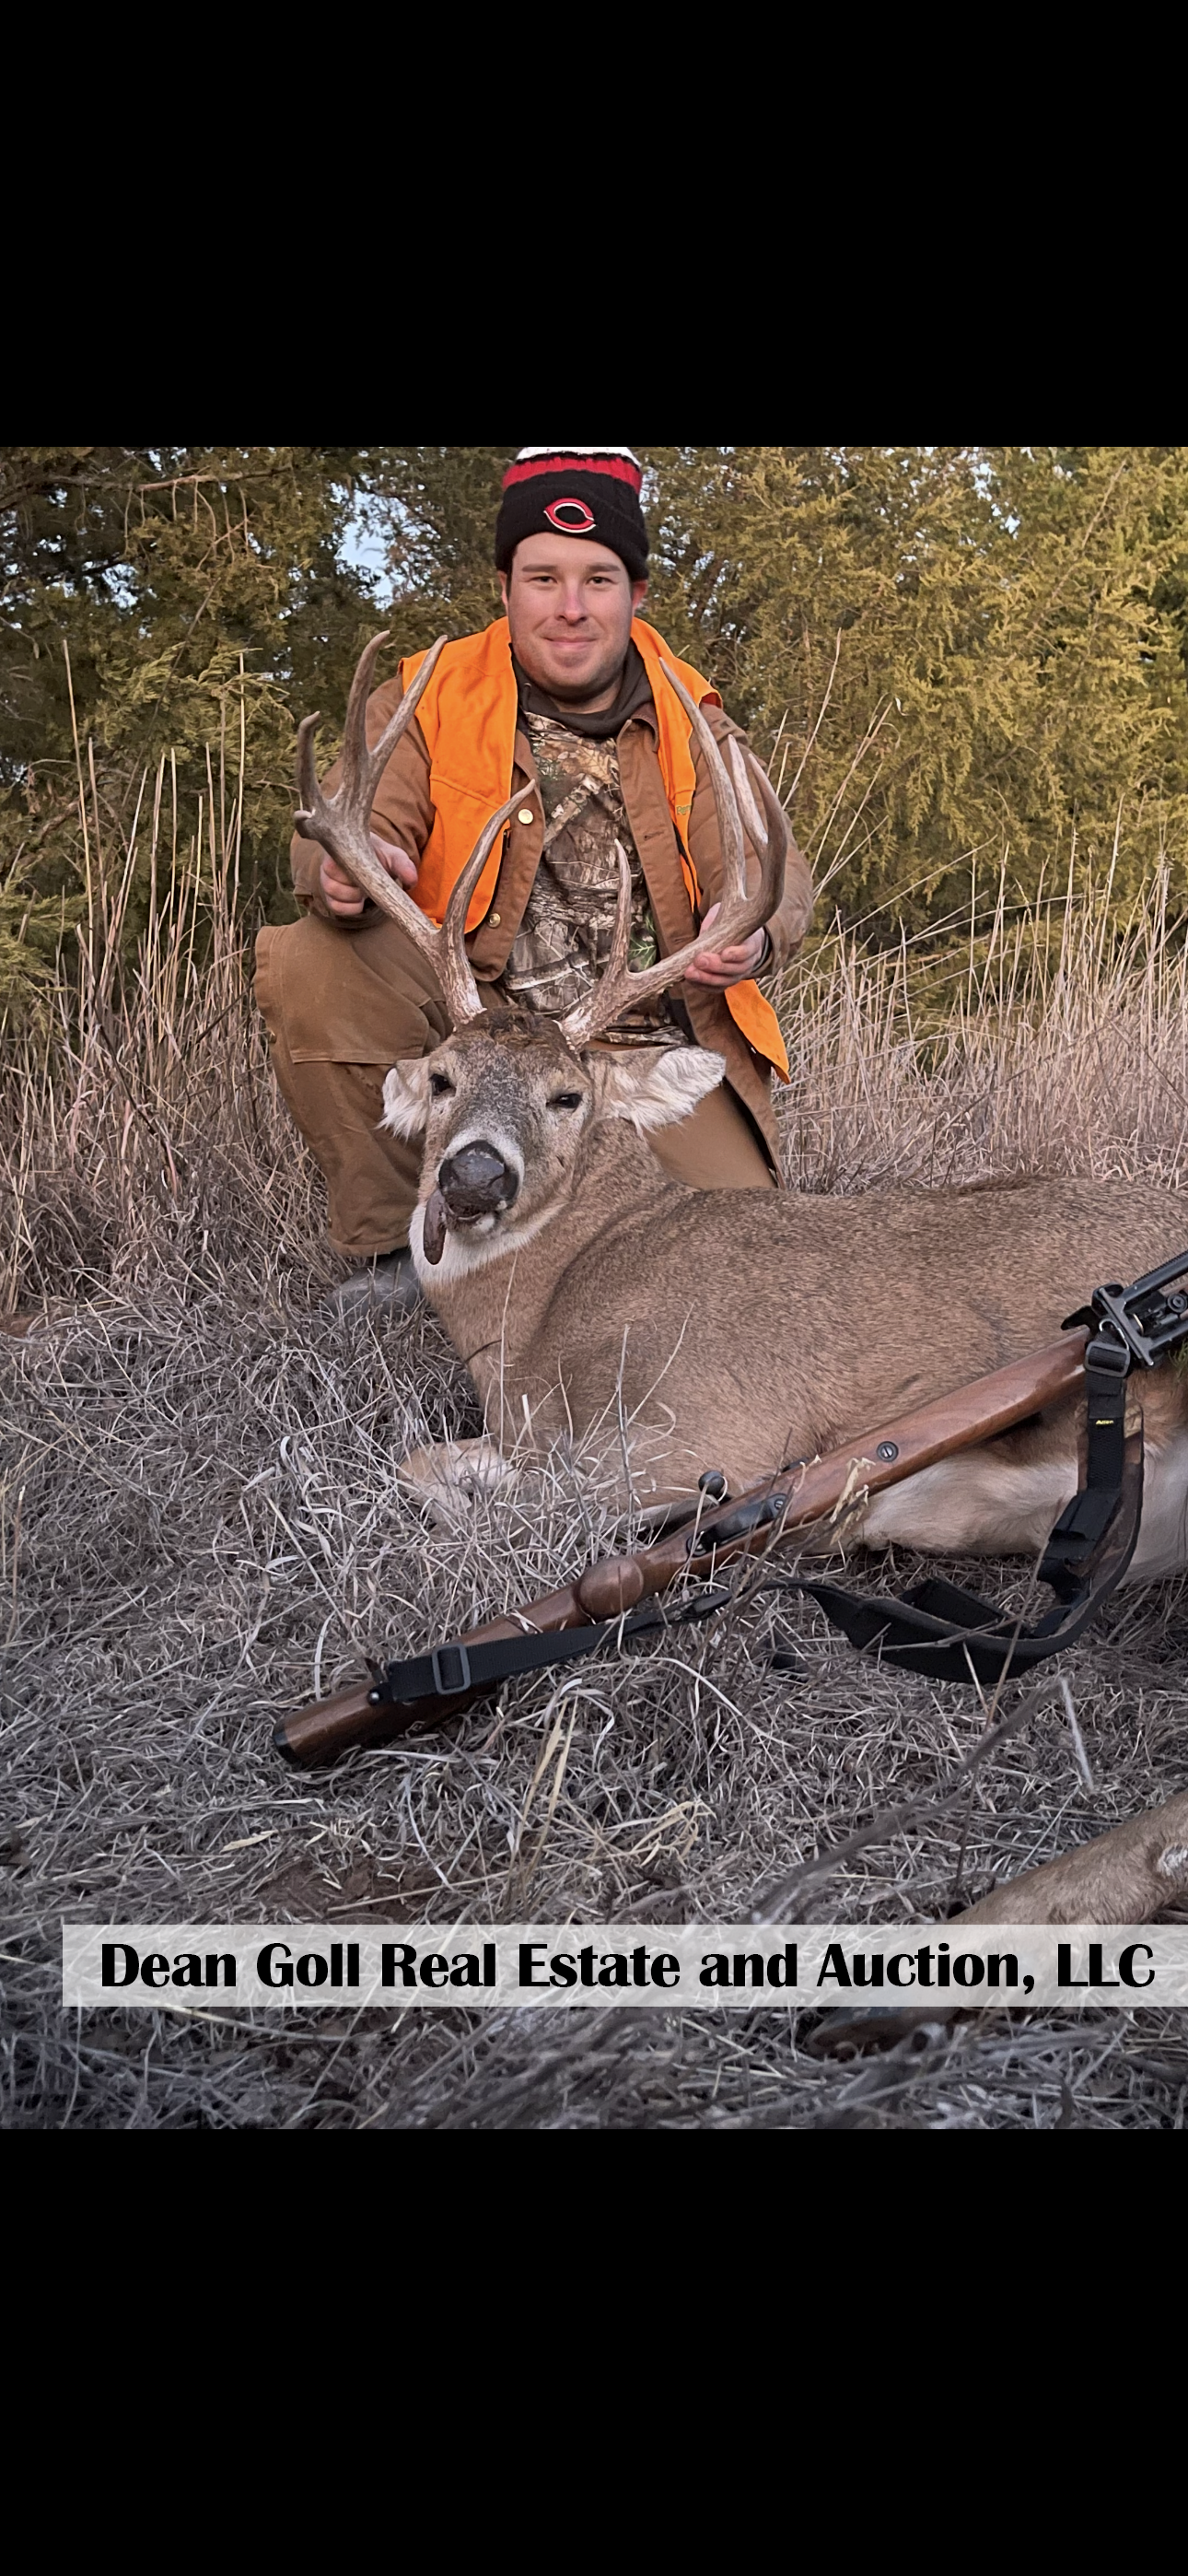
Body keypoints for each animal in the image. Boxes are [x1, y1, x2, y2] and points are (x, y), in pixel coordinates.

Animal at [294, 636, 1188, 1578]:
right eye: (442, 1078)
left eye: (566, 1096)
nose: (472, 1175)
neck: (542, 1319)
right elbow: (424, 1460)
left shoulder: (707, 1430)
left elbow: (492, 1500)